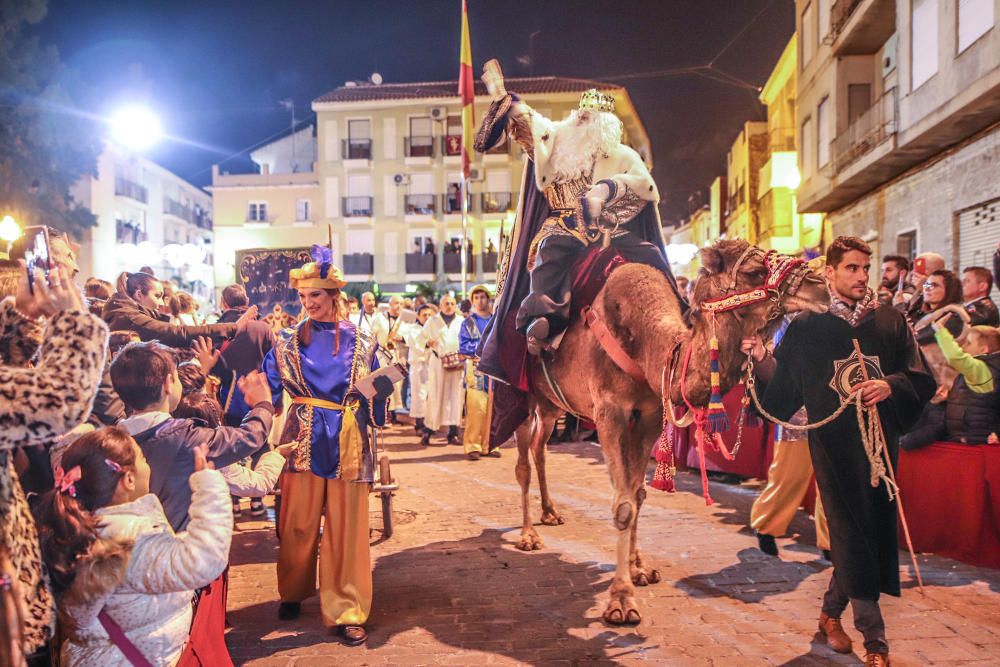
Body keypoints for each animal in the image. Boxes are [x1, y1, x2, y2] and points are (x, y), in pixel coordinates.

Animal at [512, 240, 832, 628]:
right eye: (755, 270)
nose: (821, 286)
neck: (650, 346)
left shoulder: (649, 415)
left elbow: (637, 494)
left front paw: (638, 570)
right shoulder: (609, 412)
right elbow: (623, 504)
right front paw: (620, 601)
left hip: (553, 403)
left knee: (540, 447)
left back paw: (550, 512)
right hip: (524, 396)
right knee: (523, 462)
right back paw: (528, 535)